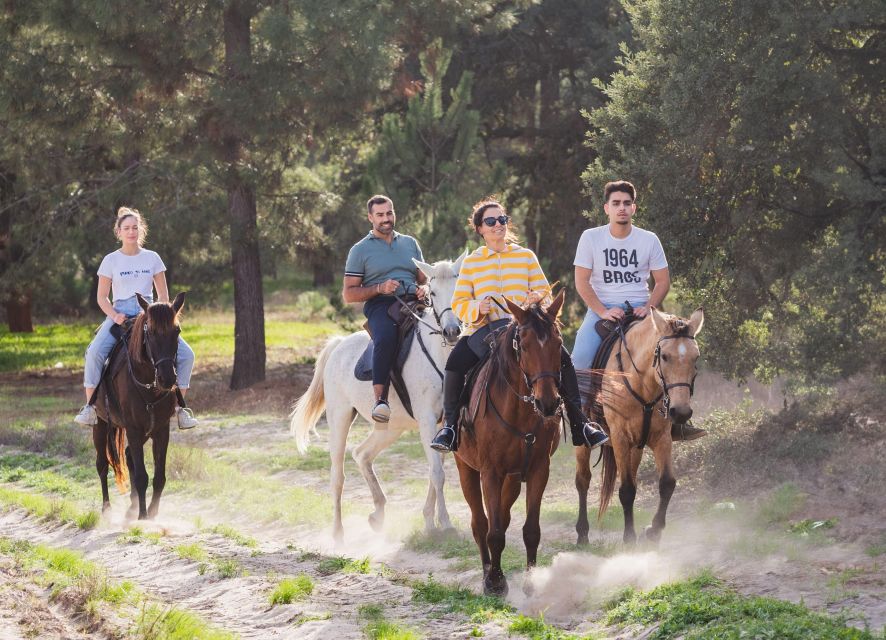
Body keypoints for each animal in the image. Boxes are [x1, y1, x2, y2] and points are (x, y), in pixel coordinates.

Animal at [93, 294, 186, 520]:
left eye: (177, 331)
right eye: (150, 332)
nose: (167, 378)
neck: (148, 385)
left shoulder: (160, 430)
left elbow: (159, 477)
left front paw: (151, 512)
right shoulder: (134, 429)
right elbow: (142, 476)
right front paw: (142, 517)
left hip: (144, 430)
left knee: (127, 455)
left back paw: (132, 505)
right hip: (100, 423)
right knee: (102, 463)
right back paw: (107, 509)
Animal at [294, 252, 468, 544]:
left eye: (460, 289)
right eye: (433, 292)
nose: (452, 331)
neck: (441, 358)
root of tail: (338, 345)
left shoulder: (444, 426)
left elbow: (435, 473)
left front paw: (429, 522)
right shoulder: (427, 421)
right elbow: (437, 474)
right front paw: (445, 524)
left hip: (389, 428)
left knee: (362, 454)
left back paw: (378, 514)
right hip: (340, 418)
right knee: (338, 475)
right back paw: (338, 532)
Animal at [454, 290, 564, 596]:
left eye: (559, 343)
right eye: (523, 347)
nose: (548, 403)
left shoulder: (538, 470)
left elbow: (530, 530)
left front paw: (531, 580)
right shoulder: (490, 472)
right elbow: (492, 531)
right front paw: (494, 581)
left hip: (513, 477)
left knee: (501, 516)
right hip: (466, 468)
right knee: (480, 523)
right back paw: (486, 570)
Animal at [576, 308, 708, 544]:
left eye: (696, 357)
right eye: (664, 356)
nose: (681, 412)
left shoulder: (662, 438)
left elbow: (666, 484)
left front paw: (654, 531)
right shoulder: (619, 438)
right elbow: (627, 489)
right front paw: (629, 537)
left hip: (636, 447)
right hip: (584, 442)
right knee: (583, 480)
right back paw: (582, 534)